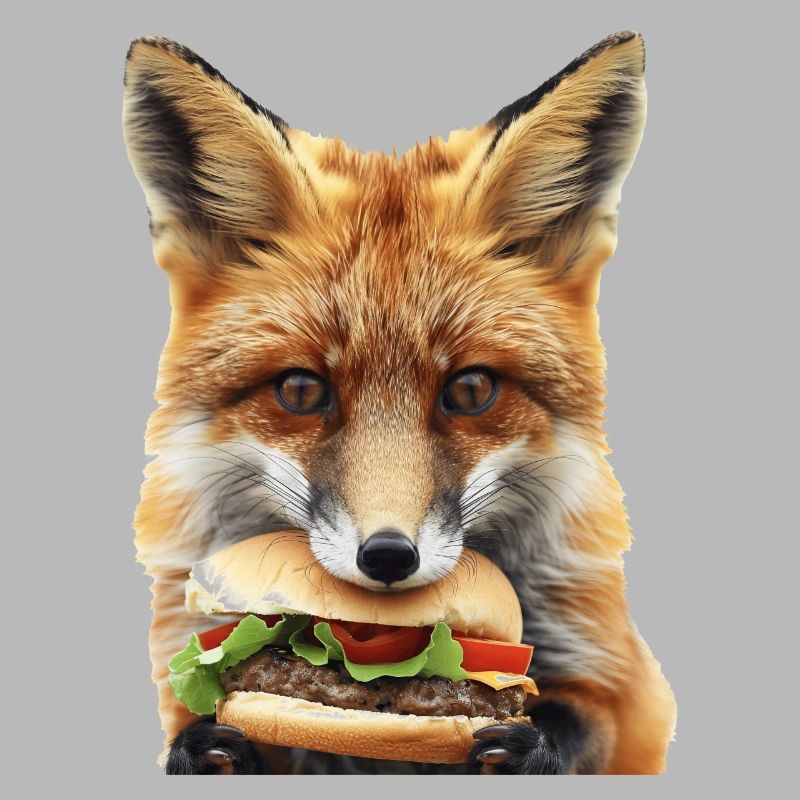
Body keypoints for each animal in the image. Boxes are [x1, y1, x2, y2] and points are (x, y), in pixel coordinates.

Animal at [123, 30, 677, 775]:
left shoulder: (624, 683)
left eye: (470, 389)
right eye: (302, 390)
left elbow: (585, 725)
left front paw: (526, 745)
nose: (387, 557)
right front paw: (205, 747)